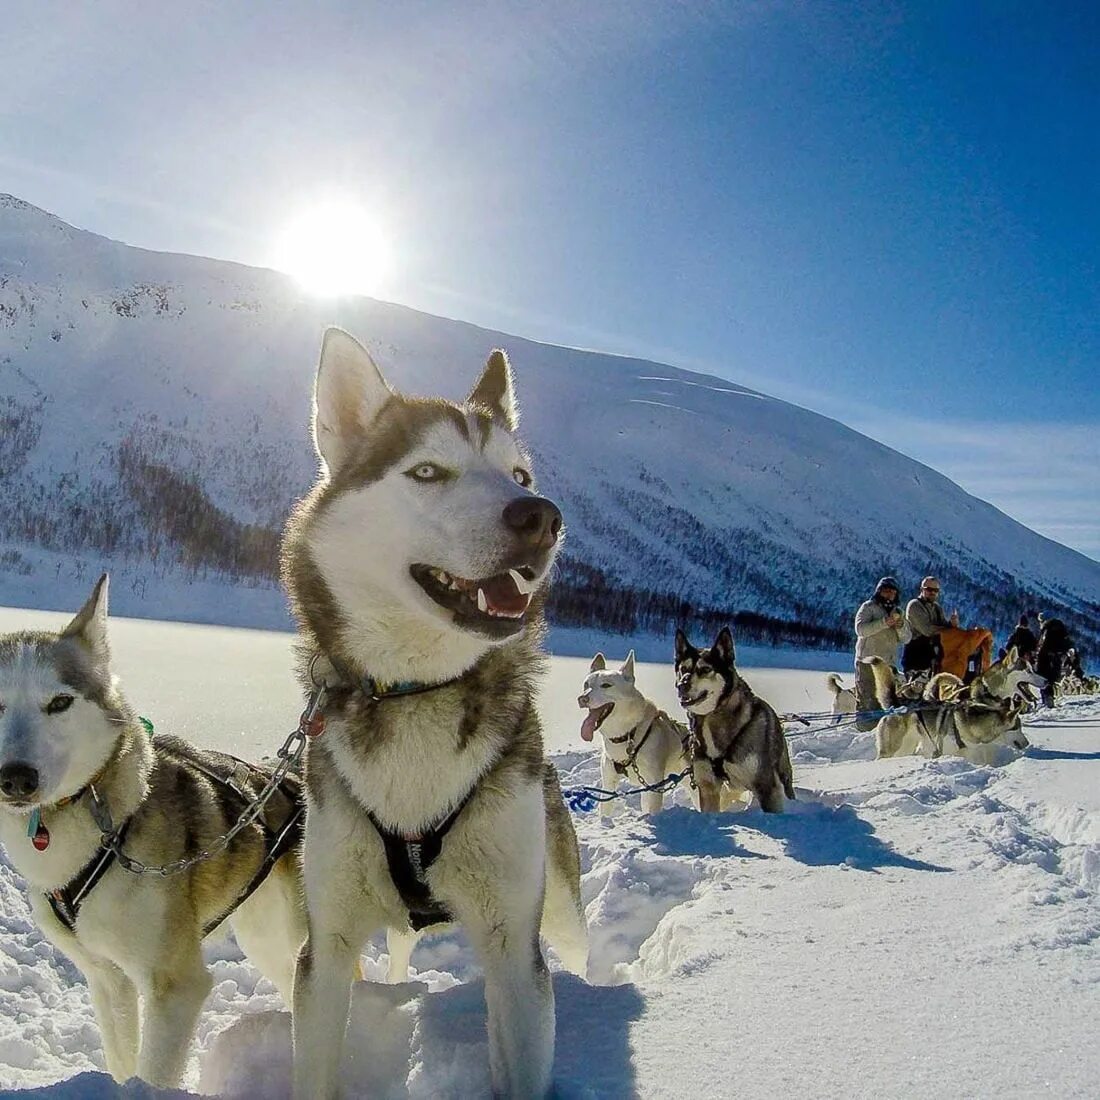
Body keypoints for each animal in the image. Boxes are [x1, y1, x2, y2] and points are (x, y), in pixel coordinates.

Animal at [0, 580, 305, 1086]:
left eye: (59, 702)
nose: (16, 778)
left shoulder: (175, 985)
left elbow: (154, 1071)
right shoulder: (107, 979)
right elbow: (124, 1062)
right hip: (265, 937)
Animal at [283, 327, 594, 1100]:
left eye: (519, 474)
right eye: (427, 472)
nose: (541, 517)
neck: (416, 689)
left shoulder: (516, 947)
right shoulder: (326, 946)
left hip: (559, 901)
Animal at [576, 651, 686, 818]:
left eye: (606, 685)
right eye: (586, 684)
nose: (582, 698)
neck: (627, 734)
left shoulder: (654, 786)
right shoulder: (608, 783)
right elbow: (605, 810)